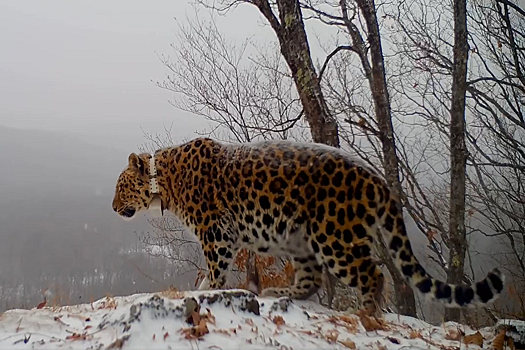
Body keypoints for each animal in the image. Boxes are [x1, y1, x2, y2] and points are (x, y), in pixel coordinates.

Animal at [111, 137, 504, 314]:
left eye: (120, 187)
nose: (113, 208)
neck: (164, 183)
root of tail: (378, 179)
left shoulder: (216, 234)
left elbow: (216, 271)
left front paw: (208, 290)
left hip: (334, 237)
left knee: (372, 274)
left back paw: (364, 313)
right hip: (299, 239)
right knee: (312, 279)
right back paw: (281, 293)